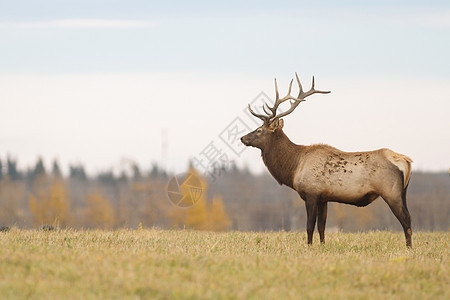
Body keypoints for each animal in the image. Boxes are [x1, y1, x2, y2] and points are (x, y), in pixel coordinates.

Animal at [241, 72, 414, 246]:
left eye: (259, 130)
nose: (242, 138)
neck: (294, 167)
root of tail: (406, 161)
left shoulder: (311, 193)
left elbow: (310, 226)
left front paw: (309, 246)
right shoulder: (323, 198)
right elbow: (321, 227)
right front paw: (322, 246)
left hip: (391, 192)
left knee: (405, 219)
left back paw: (408, 248)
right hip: (403, 192)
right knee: (409, 217)